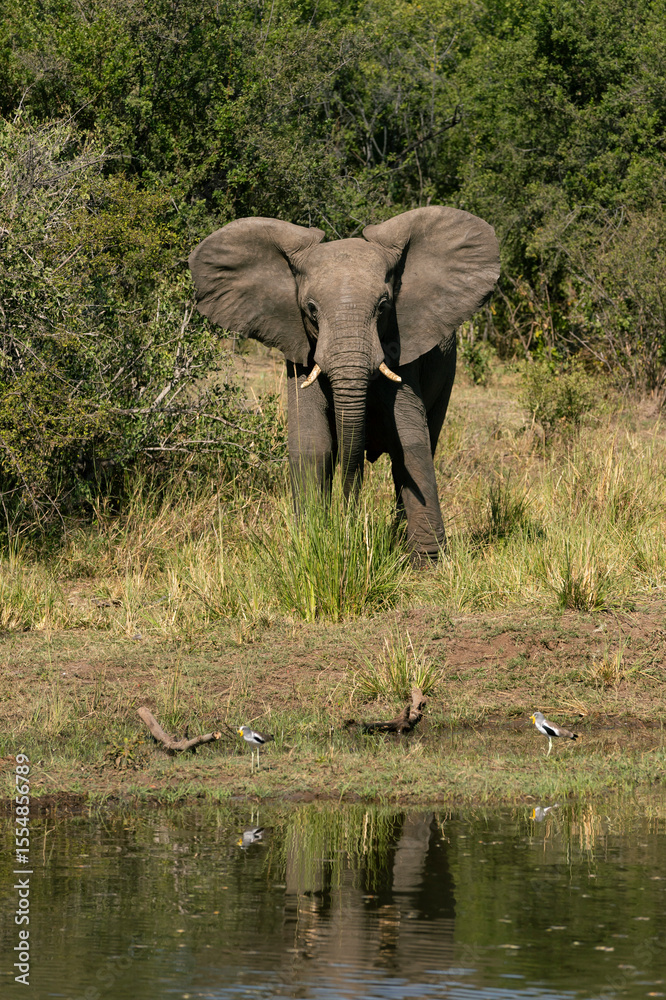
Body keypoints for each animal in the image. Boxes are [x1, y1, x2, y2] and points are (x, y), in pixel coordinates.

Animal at [188, 206, 500, 562]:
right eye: (311, 310)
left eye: (383, 306)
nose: (347, 522)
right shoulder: (299, 351)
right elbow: (311, 443)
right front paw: (309, 544)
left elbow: (411, 443)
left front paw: (428, 563)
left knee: (427, 440)